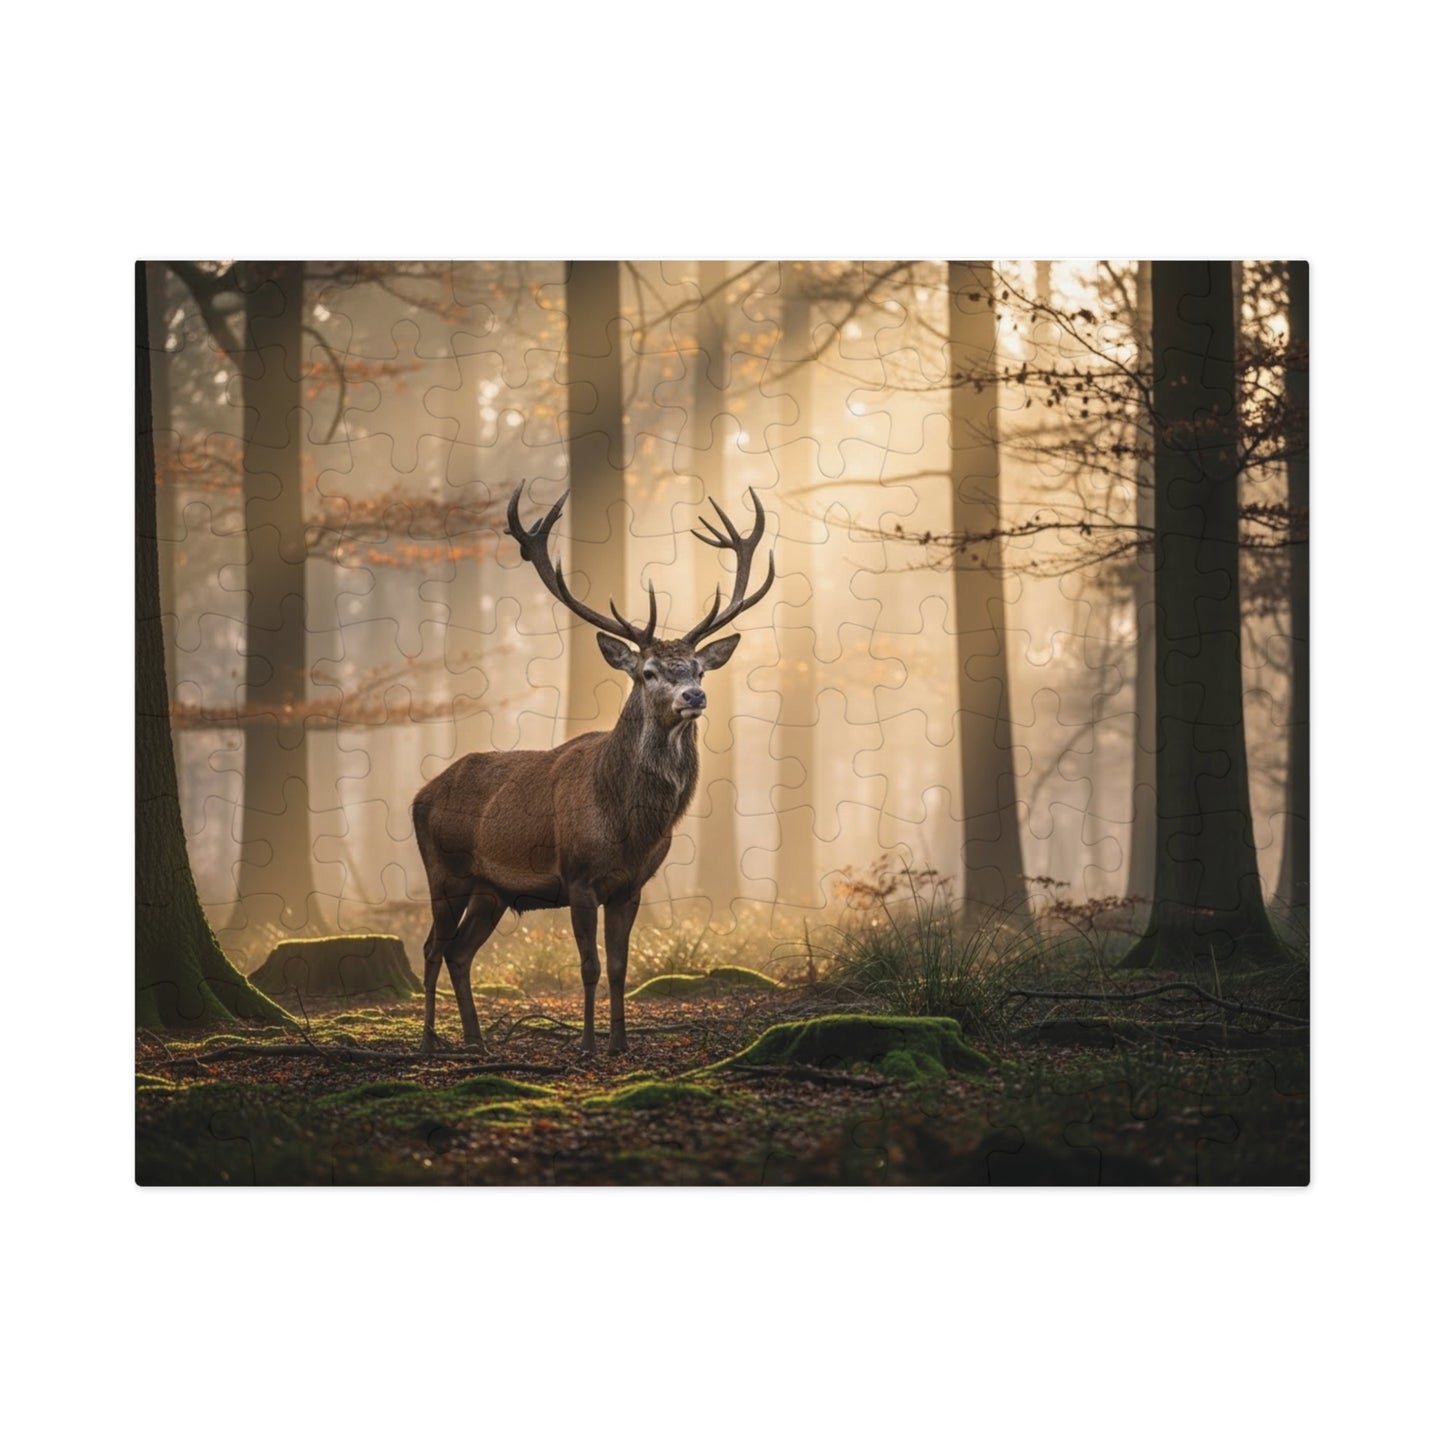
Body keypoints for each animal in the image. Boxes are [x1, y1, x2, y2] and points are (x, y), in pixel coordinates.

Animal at [411, 483, 776, 1056]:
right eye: (648, 671)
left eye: (697, 668)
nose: (694, 696)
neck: (627, 826)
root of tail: (419, 795)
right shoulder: (578, 877)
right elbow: (588, 966)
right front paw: (586, 1043)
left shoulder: (631, 886)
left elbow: (621, 967)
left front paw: (620, 1043)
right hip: (444, 870)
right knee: (431, 947)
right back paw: (429, 1043)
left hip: (492, 890)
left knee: (459, 952)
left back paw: (476, 1040)